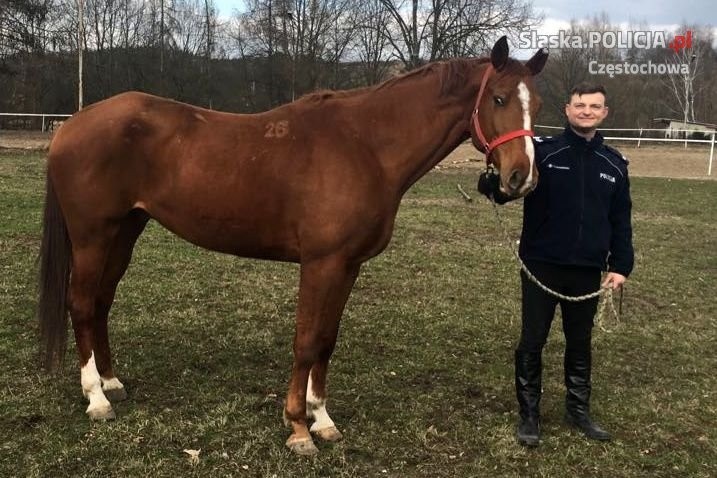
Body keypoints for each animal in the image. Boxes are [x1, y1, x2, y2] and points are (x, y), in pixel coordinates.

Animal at [39, 38, 548, 456]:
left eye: (537, 102)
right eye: (498, 98)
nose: (520, 179)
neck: (365, 146)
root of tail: (70, 126)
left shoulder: (348, 266)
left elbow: (326, 340)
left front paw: (322, 419)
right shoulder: (321, 264)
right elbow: (306, 341)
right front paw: (298, 429)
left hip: (126, 230)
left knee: (101, 303)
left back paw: (111, 383)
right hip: (93, 235)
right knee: (81, 304)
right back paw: (96, 399)